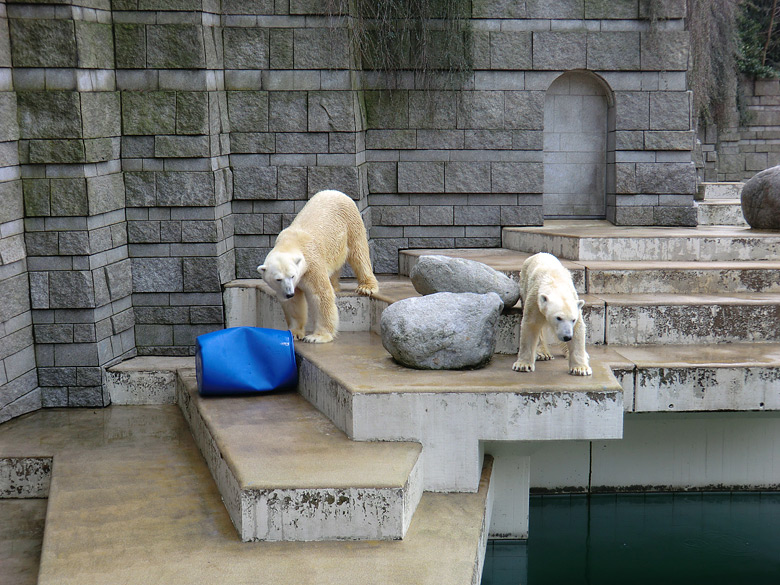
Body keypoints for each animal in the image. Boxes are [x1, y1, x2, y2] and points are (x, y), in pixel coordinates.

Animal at [258, 189, 380, 342]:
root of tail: (334, 191)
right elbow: (294, 303)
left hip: (351, 222)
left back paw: (366, 286)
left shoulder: (312, 265)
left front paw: (317, 336)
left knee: (359, 253)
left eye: (292, 276)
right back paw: (335, 285)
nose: (289, 293)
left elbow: (320, 295)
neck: (290, 242)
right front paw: (294, 332)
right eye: (278, 279)